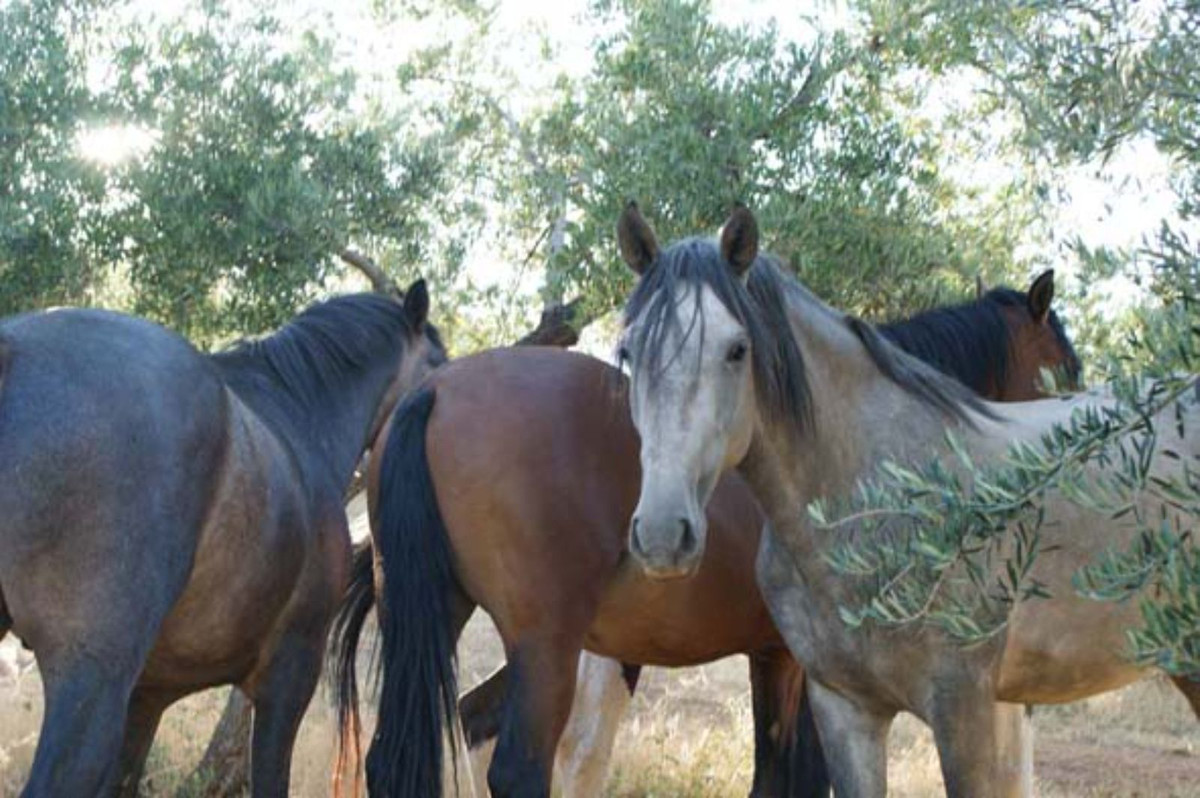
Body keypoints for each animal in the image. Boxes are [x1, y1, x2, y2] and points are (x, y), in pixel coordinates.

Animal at [333, 272, 1084, 792]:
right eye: (1066, 370)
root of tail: (437, 393)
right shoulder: (798, 666)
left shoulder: (775, 658)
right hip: (545, 647)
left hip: (437, 615)